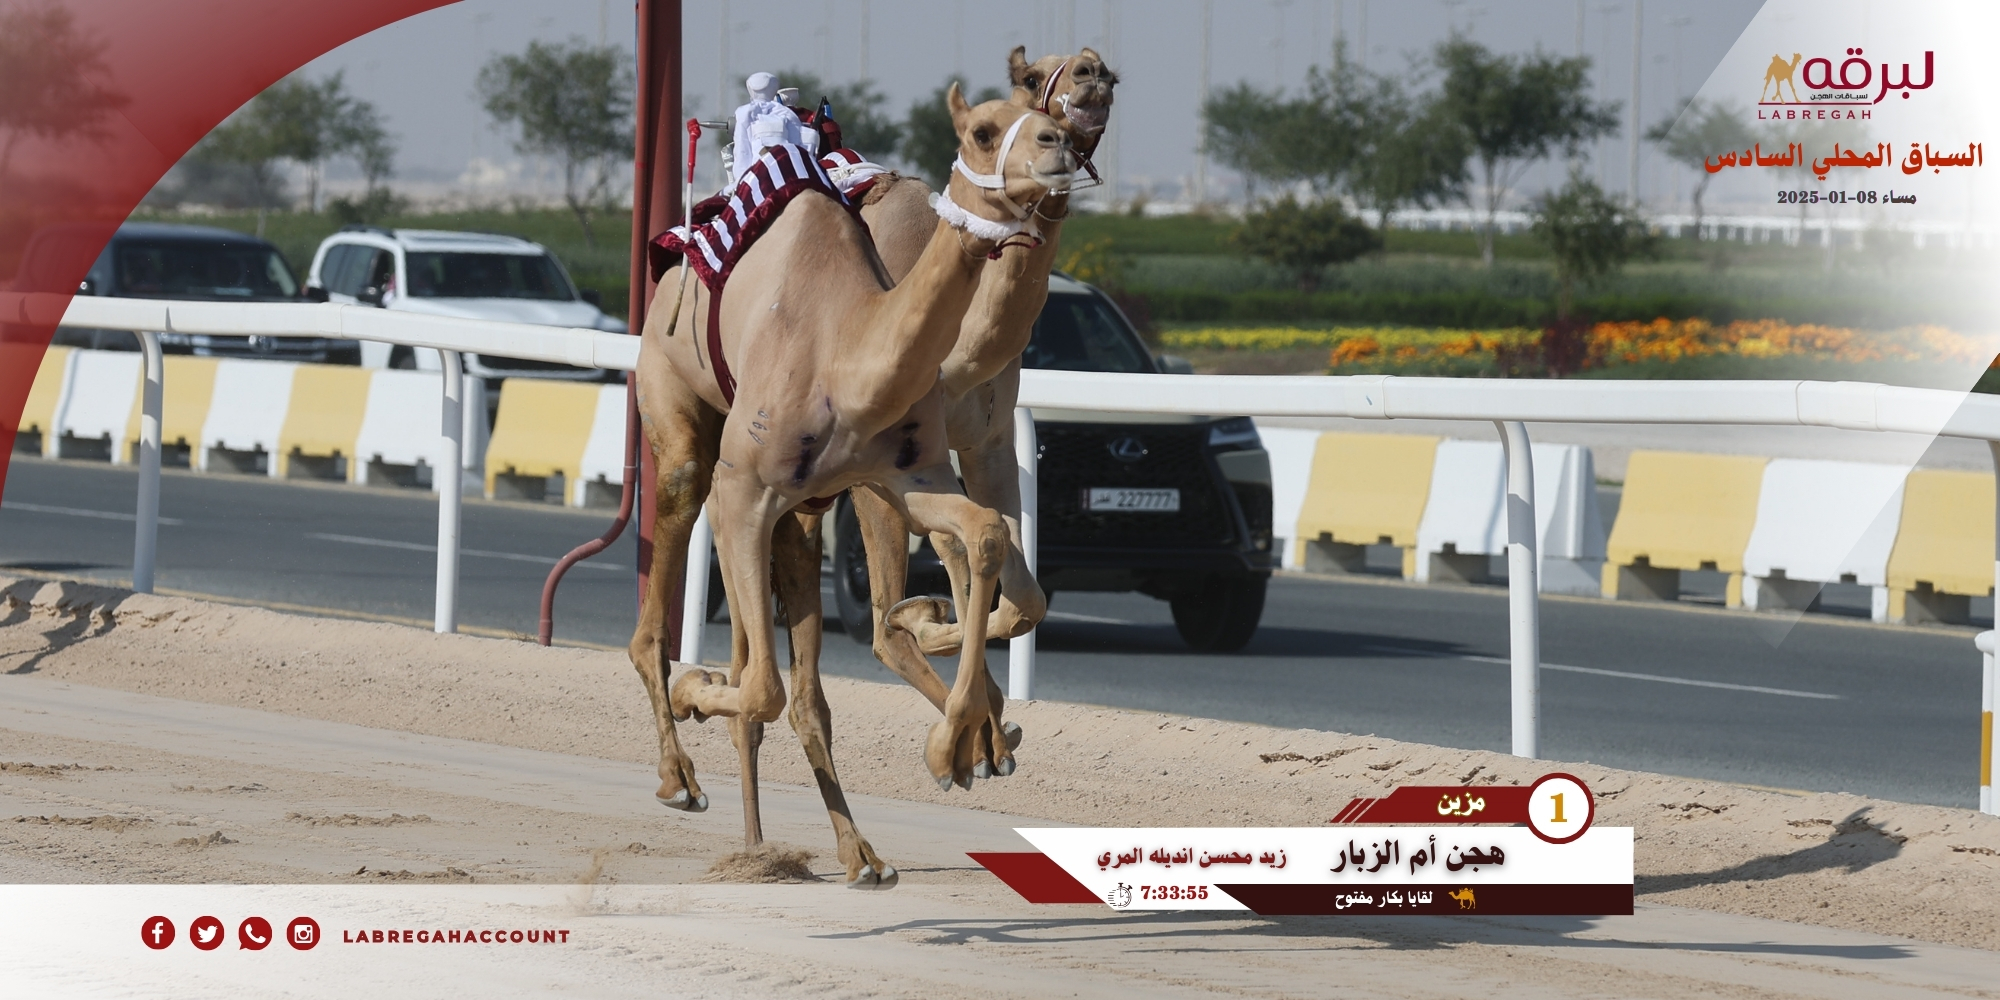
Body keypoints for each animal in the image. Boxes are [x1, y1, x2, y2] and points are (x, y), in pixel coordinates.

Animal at [632, 86, 1080, 888]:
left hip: (801, 515)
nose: (1057, 146)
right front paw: (693, 691)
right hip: (680, 426)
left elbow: (985, 534)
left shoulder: (909, 476)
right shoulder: (742, 489)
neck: (847, 353)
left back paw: (852, 852)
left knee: (803, 687)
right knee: (662, 628)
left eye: (1058, 116)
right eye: (983, 129)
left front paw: (952, 742)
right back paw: (681, 777)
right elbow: (762, 685)